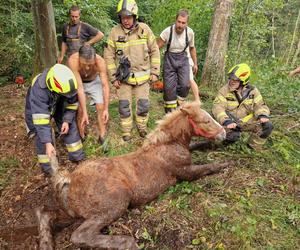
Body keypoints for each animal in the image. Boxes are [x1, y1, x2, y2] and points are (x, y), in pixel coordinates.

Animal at [36, 102, 231, 250]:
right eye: (206, 120)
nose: (224, 134)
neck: (169, 144)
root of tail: (70, 180)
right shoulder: (186, 172)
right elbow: (207, 167)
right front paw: (225, 164)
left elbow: (198, 145)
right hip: (117, 202)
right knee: (80, 234)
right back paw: (127, 242)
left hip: (71, 213)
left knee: (45, 214)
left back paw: (46, 243)